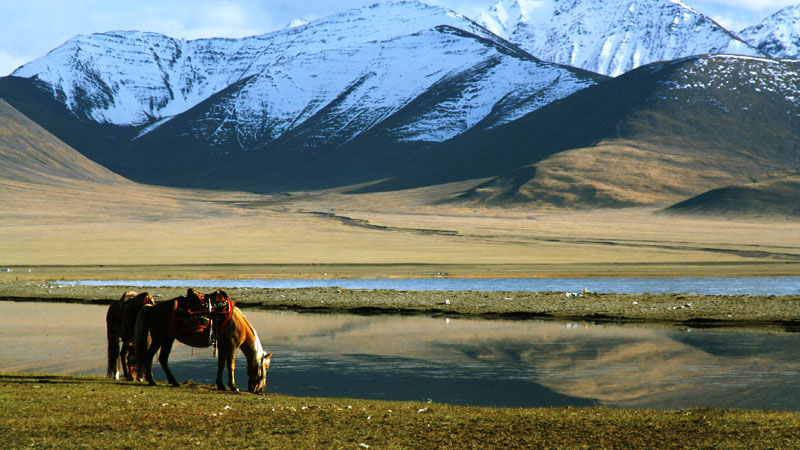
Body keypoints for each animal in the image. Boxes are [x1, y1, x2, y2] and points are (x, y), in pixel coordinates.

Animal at [136, 290, 274, 392]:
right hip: (159, 338)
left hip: (168, 338)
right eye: (266, 368)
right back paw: (152, 381)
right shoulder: (232, 345)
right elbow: (231, 365)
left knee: (163, 358)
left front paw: (221, 385)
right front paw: (234, 387)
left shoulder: (222, 345)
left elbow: (221, 364)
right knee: (149, 355)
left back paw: (174, 382)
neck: (238, 324)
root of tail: (152, 308)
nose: (260, 389)